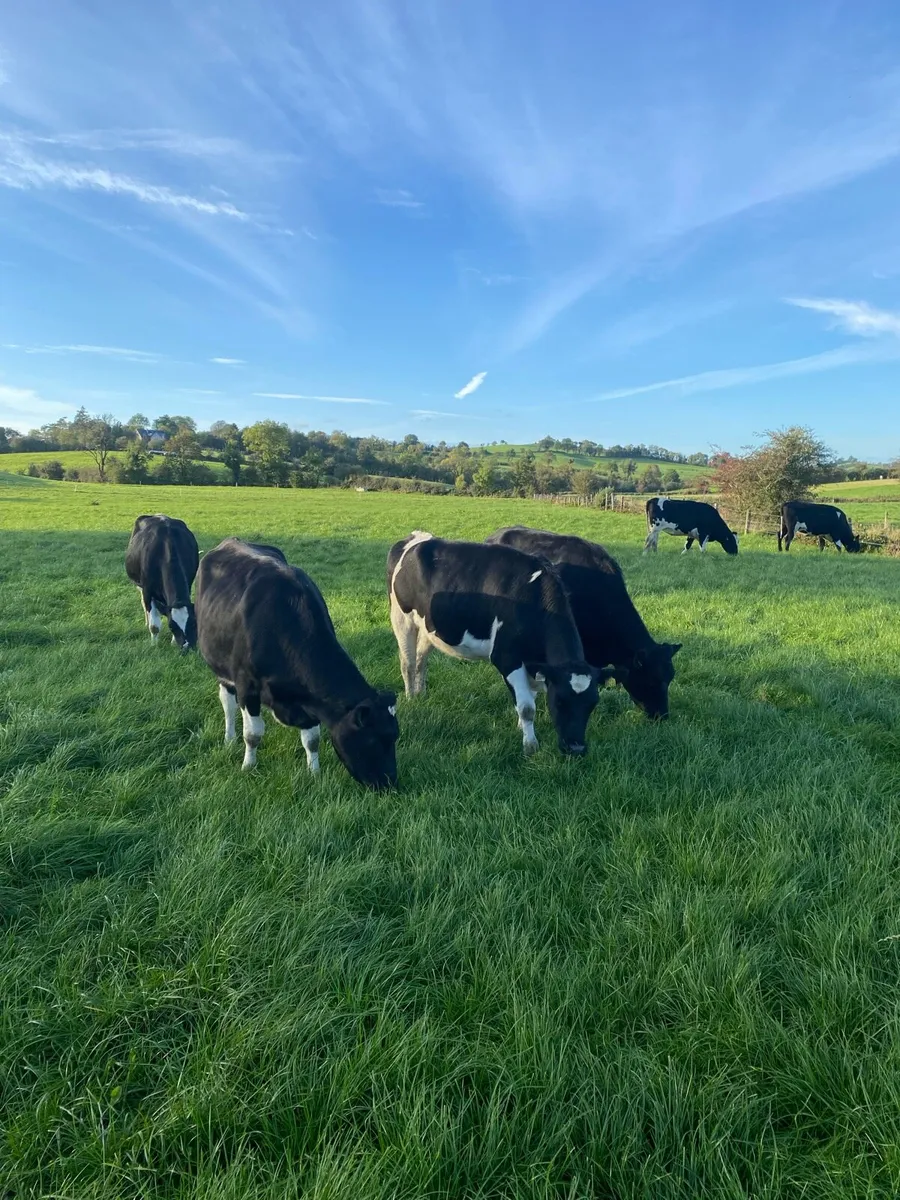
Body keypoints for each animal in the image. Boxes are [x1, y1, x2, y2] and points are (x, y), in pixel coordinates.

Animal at [125, 514, 199, 650]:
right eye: (171, 626)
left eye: (194, 623)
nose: (187, 647)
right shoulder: (147, 591)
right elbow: (154, 626)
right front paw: (154, 644)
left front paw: (173, 642)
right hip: (140, 586)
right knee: (144, 604)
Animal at [196, 538, 399, 789]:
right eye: (372, 740)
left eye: (395, 736)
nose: (390, 783)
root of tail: (230, 541)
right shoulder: (247, 686)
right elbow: (253, 734)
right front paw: (248, 767)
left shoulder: (310, 701)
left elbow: (312, 740)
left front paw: (314, 773)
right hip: (222, 670)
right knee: (227, 703)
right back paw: (229, 738)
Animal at [387, 531, 611, 756]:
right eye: (560, 701)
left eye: (592, 703)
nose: (576, 748)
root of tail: (415, 536)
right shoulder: (507, 658)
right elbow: (527, 708)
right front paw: (530, 746)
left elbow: (529, 698)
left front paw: (521, 728)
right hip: (402, 619)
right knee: (408, 663)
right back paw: (411, 698)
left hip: (428, 627)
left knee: (421, 659)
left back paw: (421, 693)